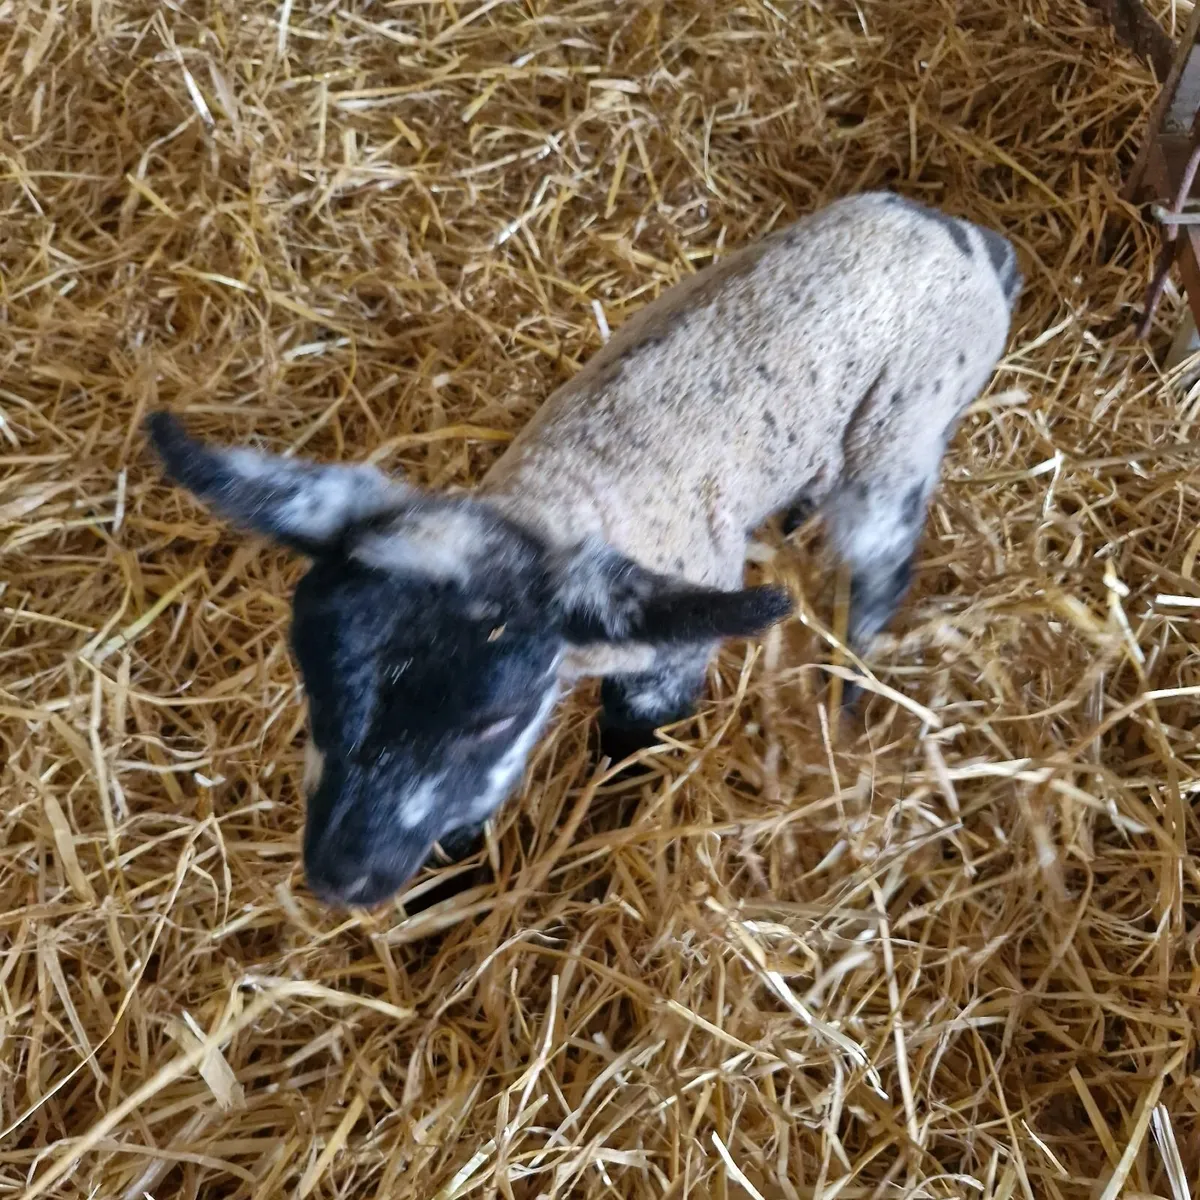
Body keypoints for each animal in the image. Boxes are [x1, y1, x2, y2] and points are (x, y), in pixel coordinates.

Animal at [146, 191, 1020, 908]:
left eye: (493, 720)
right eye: (310, 678)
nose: (340, 878)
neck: (562, 493)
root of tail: (965, 238)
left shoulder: (665, 659)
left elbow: (627, 745)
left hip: (904, 434)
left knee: (876, 572)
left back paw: (845, 693)